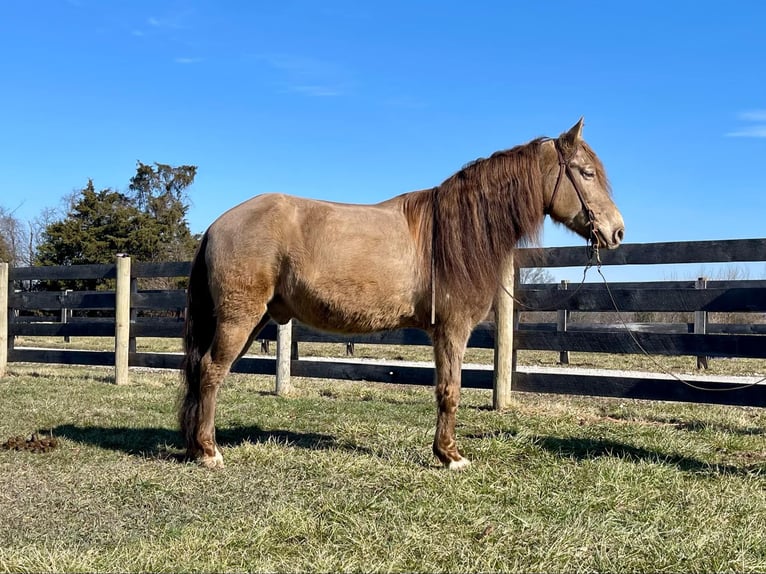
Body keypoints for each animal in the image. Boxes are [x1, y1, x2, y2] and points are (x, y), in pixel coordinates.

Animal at [180, 118, 625, 470]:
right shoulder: (451, 330)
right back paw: (209, 451)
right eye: (586, 173)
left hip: (254, 320)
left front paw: (444, 452)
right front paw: (450, 456)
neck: (456, 233)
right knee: (211, 371)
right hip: (240, 318)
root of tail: (218, 224)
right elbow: (450, 391)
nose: (617, 231)